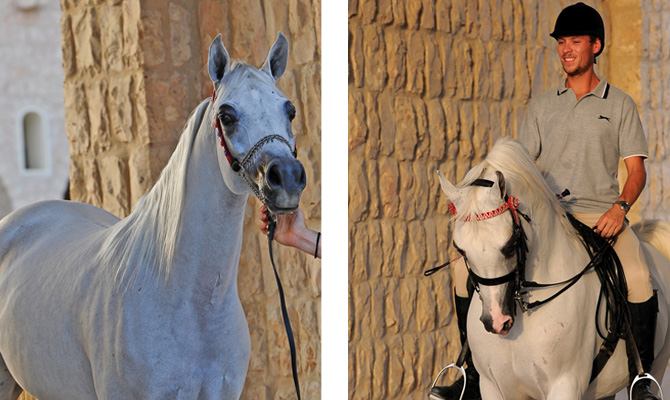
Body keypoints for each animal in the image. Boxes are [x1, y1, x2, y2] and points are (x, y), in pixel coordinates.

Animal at [440, 137, 670, 396]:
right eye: (460, 250)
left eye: (510, 244)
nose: (497, 322)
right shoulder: (493, 387)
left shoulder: (565, 385)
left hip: (659, 362)